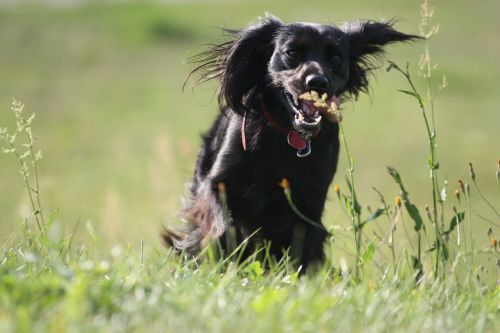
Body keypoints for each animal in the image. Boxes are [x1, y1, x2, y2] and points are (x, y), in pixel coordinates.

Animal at [163, 15, 418, 268]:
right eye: (292, 52)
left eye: (336, 57)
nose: (318, 82)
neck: (286, 135)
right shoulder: (219, 183)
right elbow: (222, 222)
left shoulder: (309, 205)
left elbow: (304, 248)